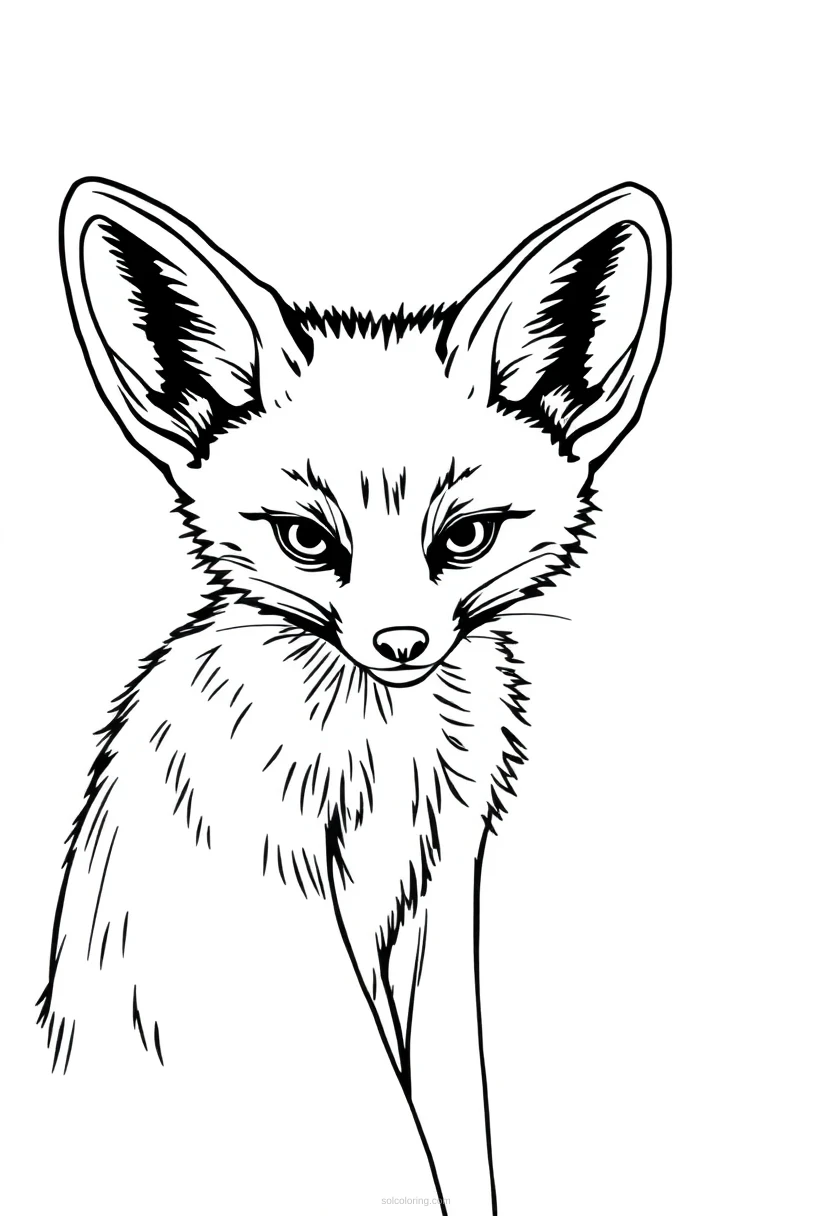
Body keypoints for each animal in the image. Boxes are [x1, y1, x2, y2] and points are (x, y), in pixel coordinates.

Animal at [38, 178, 670, 1213]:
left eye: (465, 536)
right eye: (306, 538)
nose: (400, 647)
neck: (381, 761)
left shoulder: (444, 882)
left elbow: (456, 1120)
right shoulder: (289, 878)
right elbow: (394, 1132)